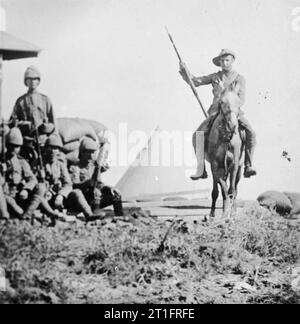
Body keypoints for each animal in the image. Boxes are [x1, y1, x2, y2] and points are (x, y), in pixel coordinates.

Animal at [207, 90, 245, 219]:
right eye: (222, 102)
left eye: (239, 103)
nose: (232, 126)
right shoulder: (215, 166)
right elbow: (220, 190)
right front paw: (219, 214)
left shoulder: (234, 165)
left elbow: (231, 190)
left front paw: (231, 214)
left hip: (239, 170)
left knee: (235, 190)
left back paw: (233, 211)